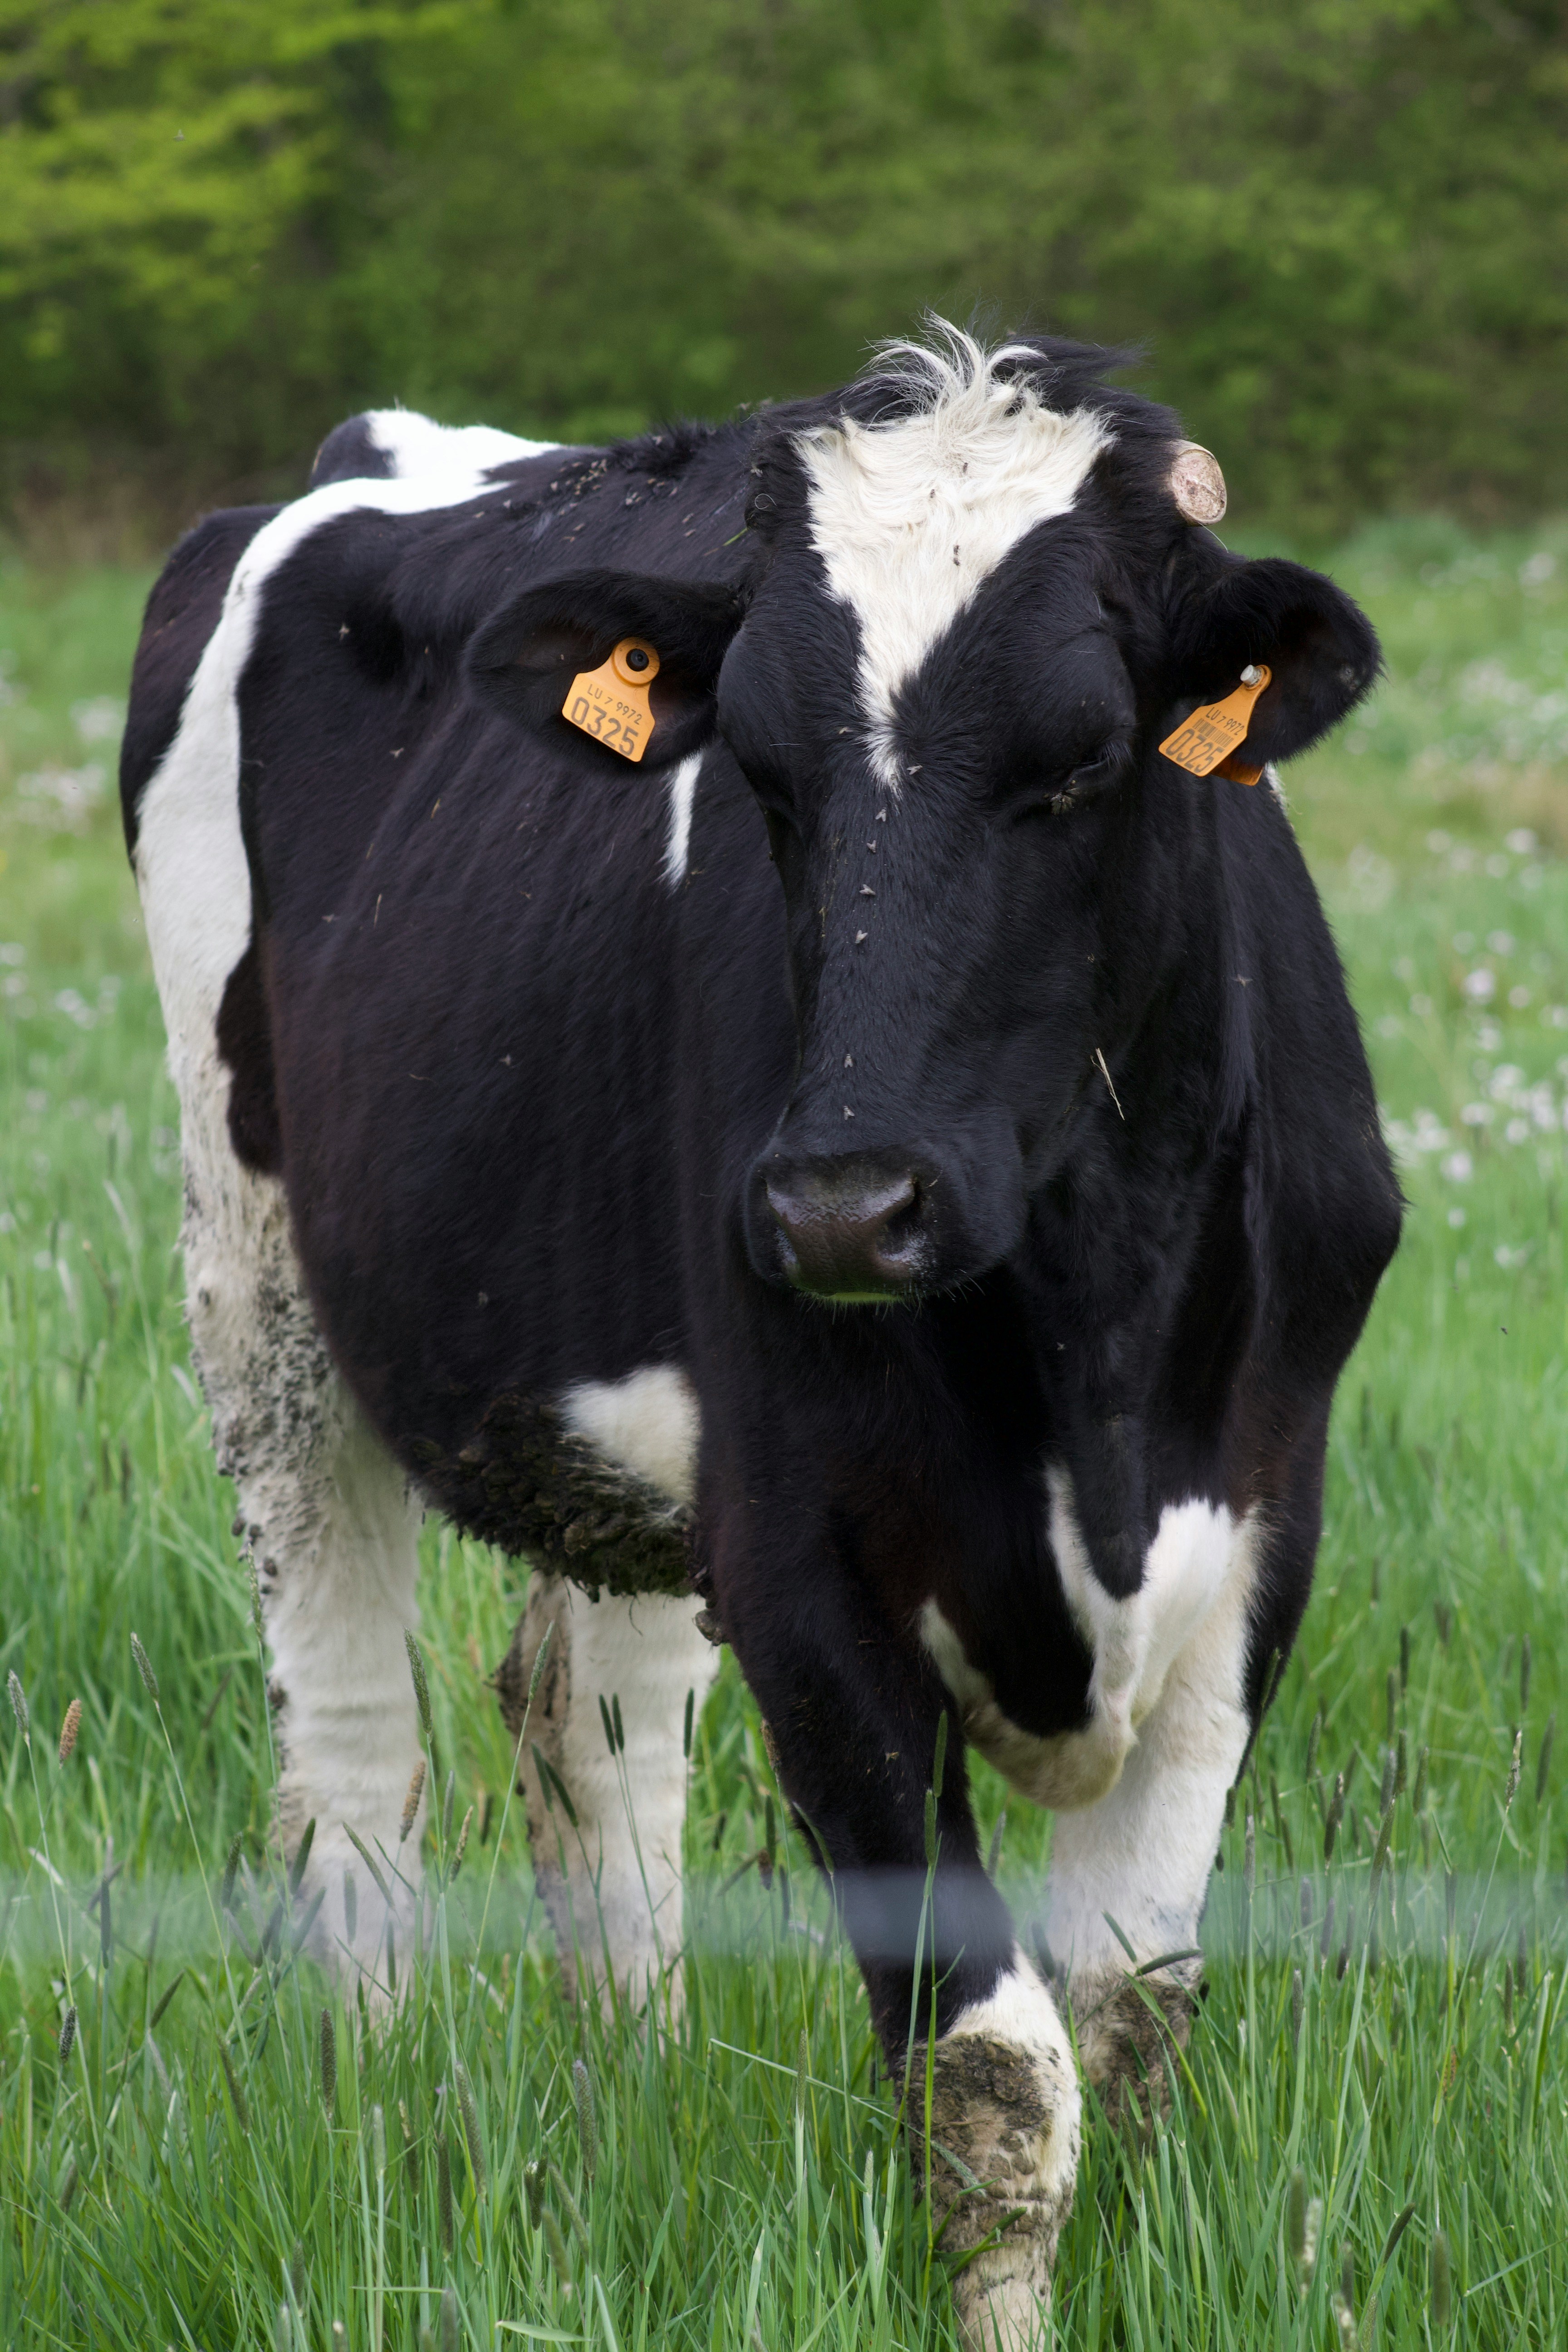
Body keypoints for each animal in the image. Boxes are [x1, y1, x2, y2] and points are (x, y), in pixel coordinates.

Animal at [121, 326, 1401, 2347]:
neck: (1092, 1350)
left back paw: (633, 2088)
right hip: (260, 1294)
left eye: (1088, 761)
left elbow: (1129, 2015)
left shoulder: (1261, 1535)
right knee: (352, 1761)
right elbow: (992, 2073)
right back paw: (373, 2105)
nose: (841, 1207)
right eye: (766, 779)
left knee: (594, 1729)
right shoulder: (809, 1565)